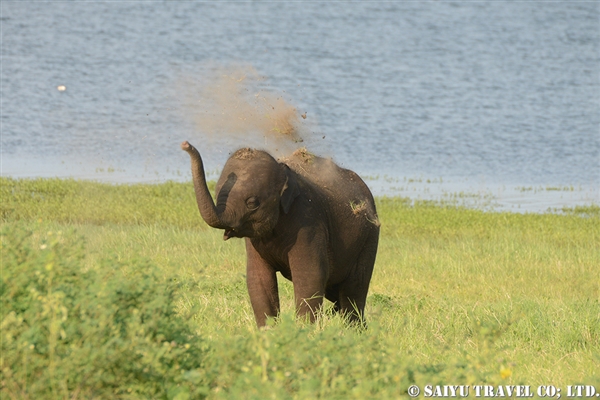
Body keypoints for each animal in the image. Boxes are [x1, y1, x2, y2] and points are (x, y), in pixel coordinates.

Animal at [182, 141, 380, 328]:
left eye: (252, 203)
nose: (185, 144)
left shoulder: (308, 220)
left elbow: (311, 275)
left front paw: (304, 332)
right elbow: (258, 278)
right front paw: (269, 333)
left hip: (369, 239)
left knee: (353, 293)